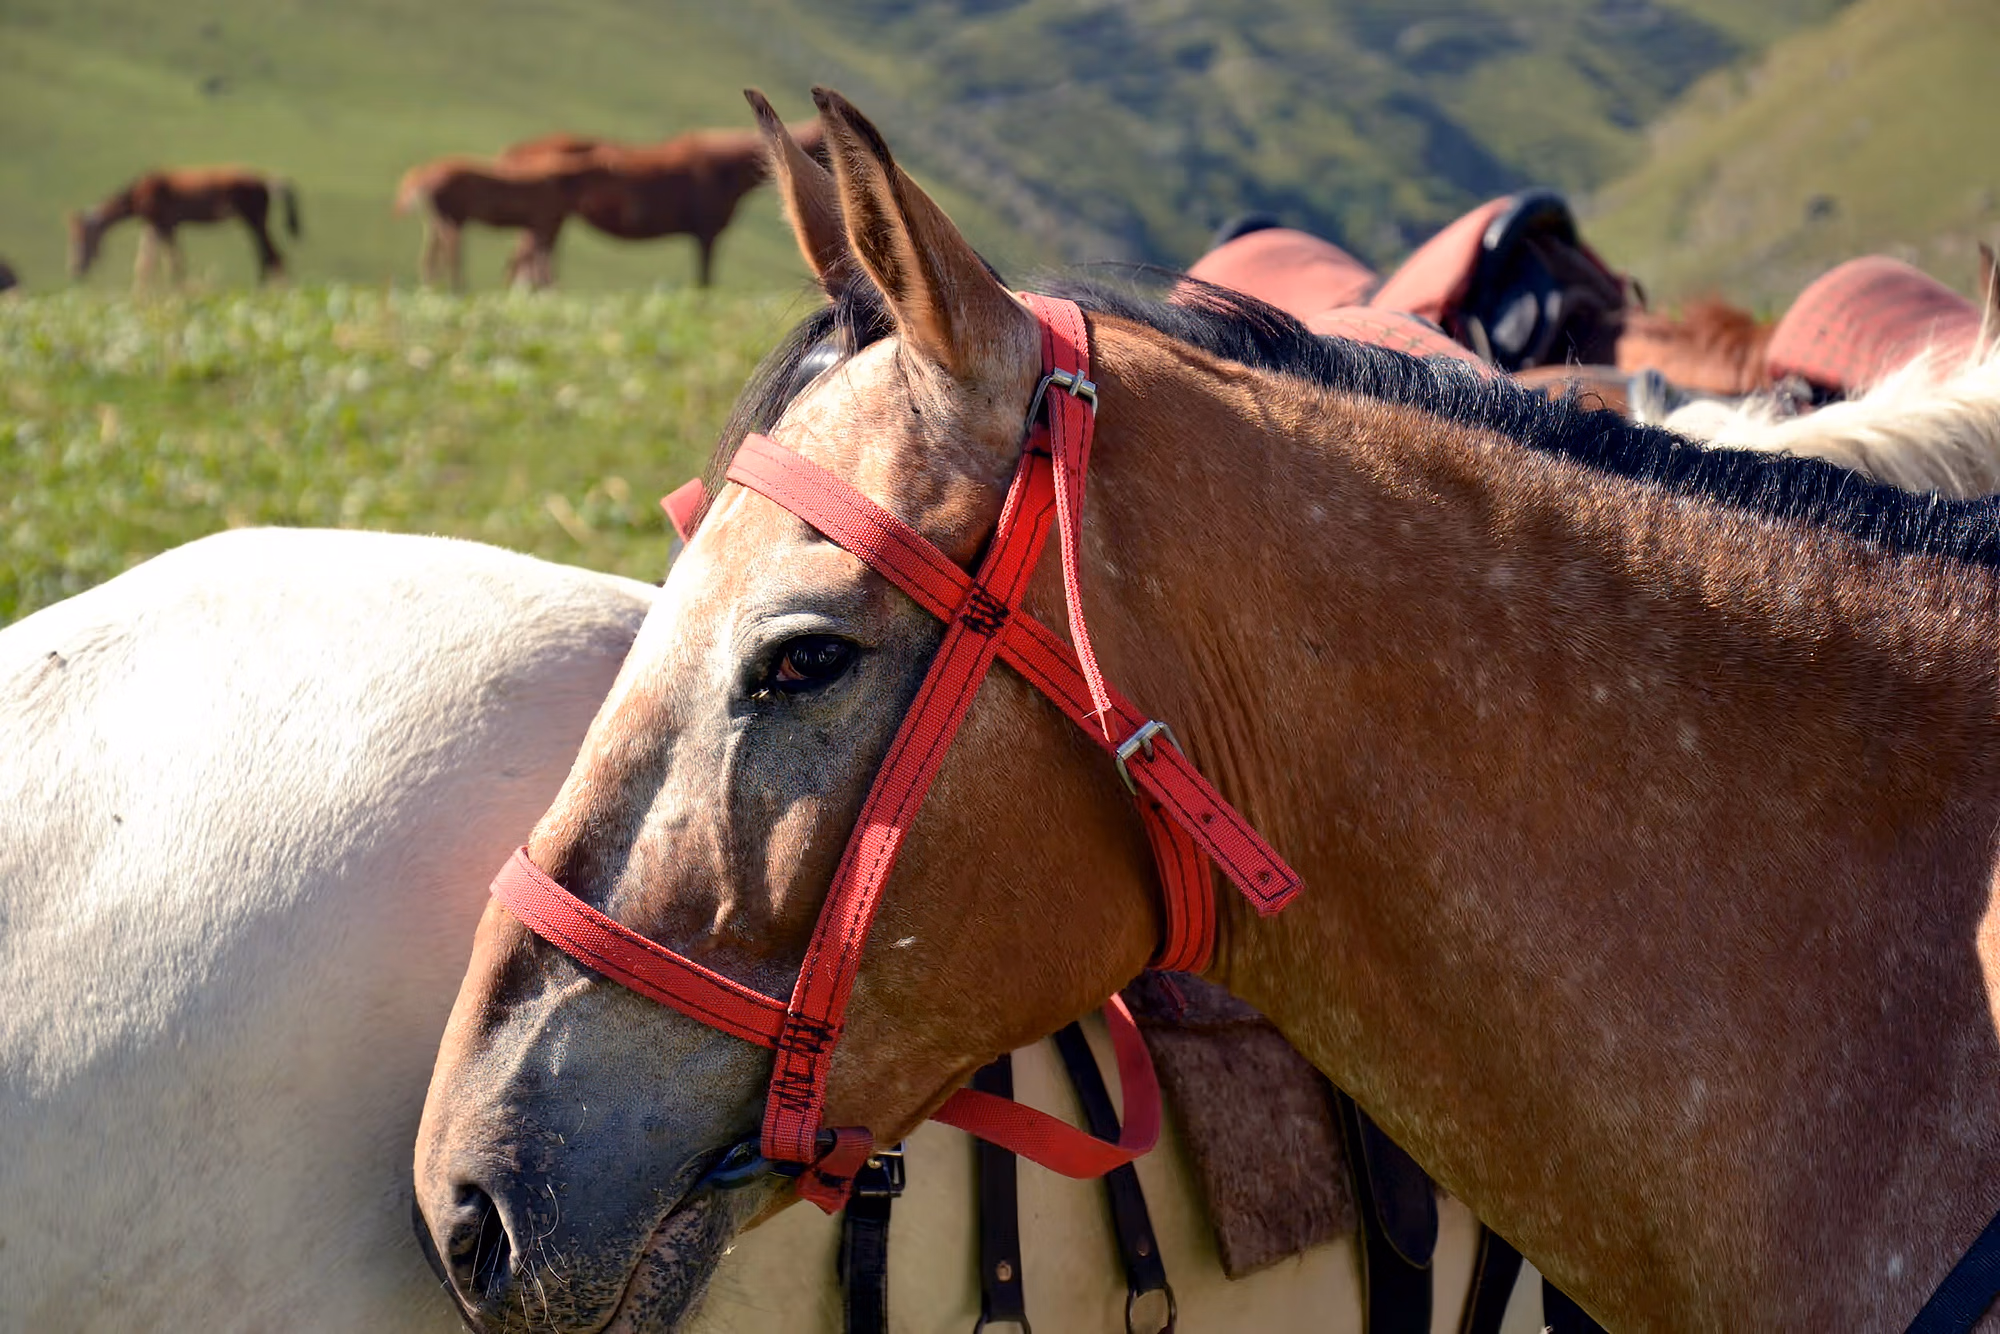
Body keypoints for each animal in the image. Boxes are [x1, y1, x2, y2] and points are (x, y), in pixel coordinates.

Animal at [68, 167, 300, 287]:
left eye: (79, 238)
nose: (75, 270)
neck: (136, 195)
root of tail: (269, 181)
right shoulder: (156, 226)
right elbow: (145, 264)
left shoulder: (163, 226)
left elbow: (171, 265)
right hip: (253, 223)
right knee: (268, 257)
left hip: (254, 222)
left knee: (273, 256)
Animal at [393, 154, 605, 290]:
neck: (561, 184)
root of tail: (426, 173)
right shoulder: (543, 224)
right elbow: (539, 263)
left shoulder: (540, 226)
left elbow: (531, 261)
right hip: (452, 220)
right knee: (449, 255)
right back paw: (455, 289)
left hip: (437, 221)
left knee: (431, 256)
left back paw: (434, 288)